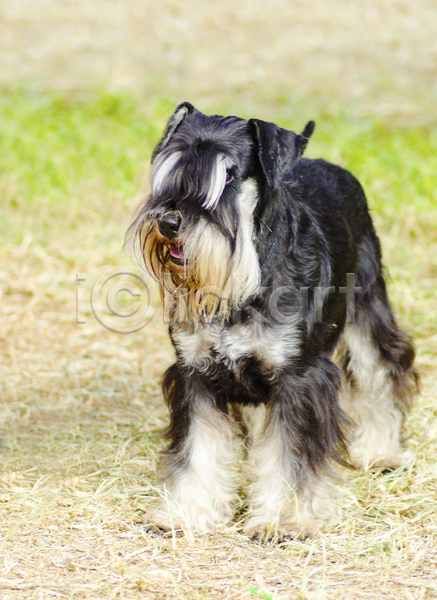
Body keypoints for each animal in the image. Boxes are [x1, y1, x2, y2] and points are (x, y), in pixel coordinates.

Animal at [125, 102, 416, 540]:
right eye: (170, 167)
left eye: (228, 174)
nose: (169, 223)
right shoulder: (195, 374)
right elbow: (198, 449)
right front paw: (187, 512)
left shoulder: (298, 378)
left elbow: (288, 454)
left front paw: (282, 520)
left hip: (368, 308)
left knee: (377, 373)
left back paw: (381, 452)